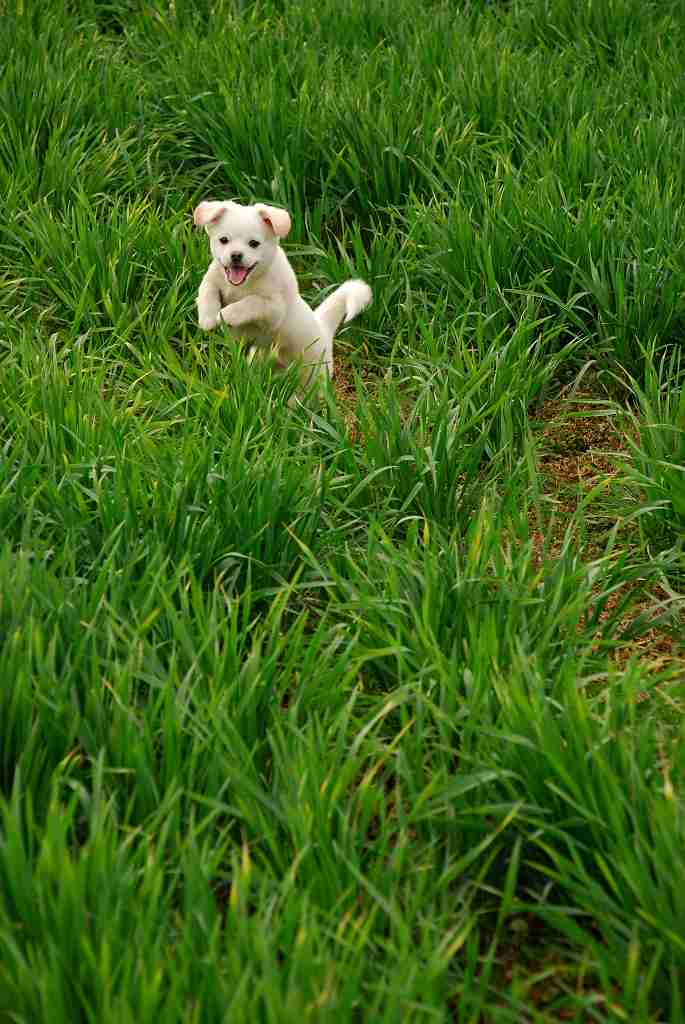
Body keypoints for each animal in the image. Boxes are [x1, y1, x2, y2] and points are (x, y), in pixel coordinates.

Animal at [194, 199, 370, 385]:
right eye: (224, 240)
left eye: (254, 243)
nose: (235, 255)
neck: (244, 284)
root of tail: (323, 329)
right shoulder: (211, 280)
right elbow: (207, 293)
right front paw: (207, 318)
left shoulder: (273, 311)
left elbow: (250, 302)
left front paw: (226, 314)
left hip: (314, 375)